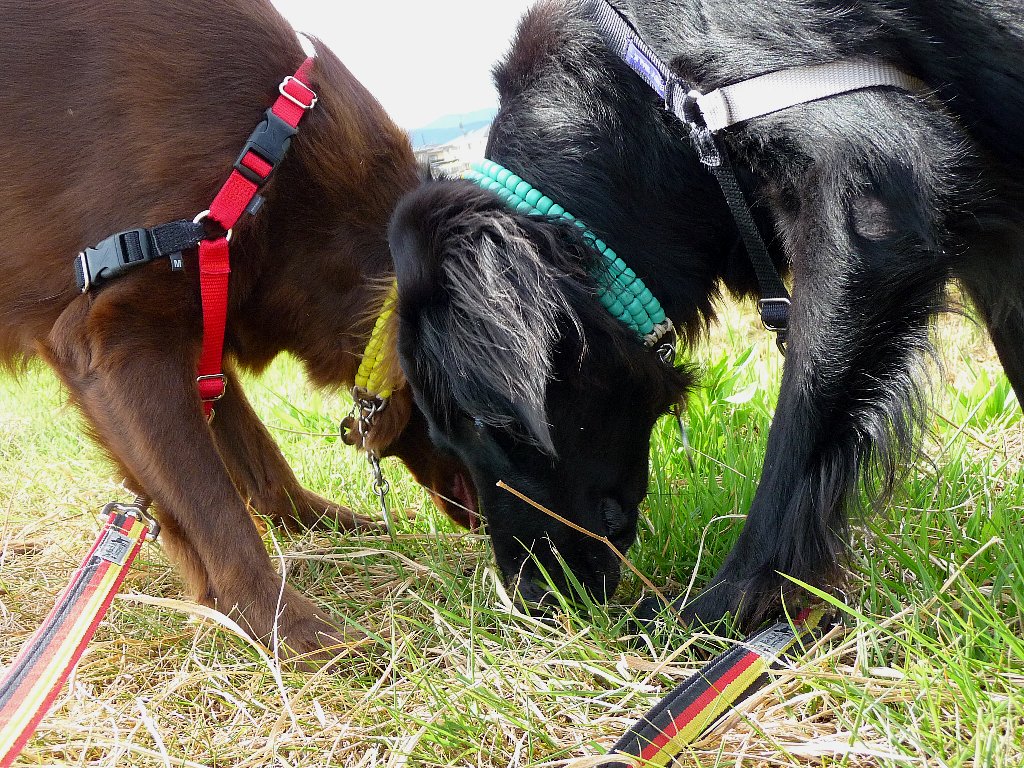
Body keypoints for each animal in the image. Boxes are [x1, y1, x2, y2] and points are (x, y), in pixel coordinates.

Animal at [0, 0, 480, 662]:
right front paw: (292, 628)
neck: (268, 161)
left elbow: (259, 459)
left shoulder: (205, 322)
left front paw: (326, 526)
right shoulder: (113, 340)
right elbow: (213, 506)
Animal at [387, 0, 1024, 627]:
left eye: (487, 425)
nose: (531, 601)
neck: (652, 99)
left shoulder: (870, 191)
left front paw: (715, 612)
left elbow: (794, 440)